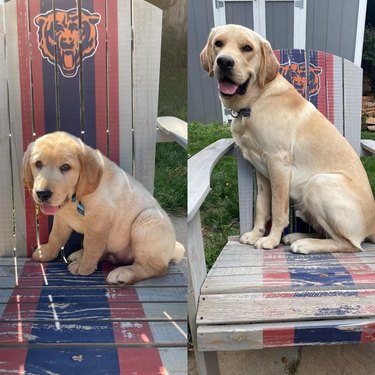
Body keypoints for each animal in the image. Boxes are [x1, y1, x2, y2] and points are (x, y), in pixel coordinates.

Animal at [22, 131, 185, 284]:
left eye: (65, 167)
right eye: (38, 164)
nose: (42, 193)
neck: (77, 197)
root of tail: (173, 249)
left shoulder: (98, 223)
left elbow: (91, 245)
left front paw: (84, 267)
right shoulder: (61, 219)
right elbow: (55, 237)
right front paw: (47, 252)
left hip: (147, 221)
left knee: (154, 268)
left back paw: (123, 273)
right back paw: (80, 254)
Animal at [201, 24, 375, 256]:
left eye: (247, 48)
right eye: (218, 43)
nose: (224, 62)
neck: (254, 103)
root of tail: (373, 225)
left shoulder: (278, 164)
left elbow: (277, 209)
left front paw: (270, 240)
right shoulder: (261, 170)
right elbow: (261, 207)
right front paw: (256, 234)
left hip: (318, 183)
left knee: (349, 244)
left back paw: (305, 244)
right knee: (327, 234)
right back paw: (297, 236)